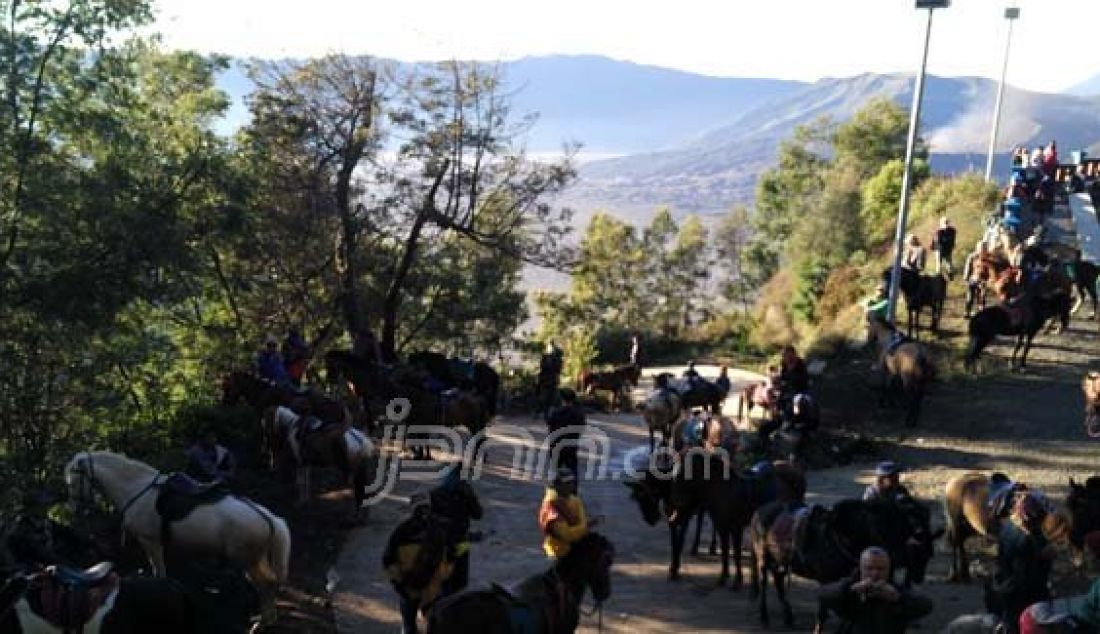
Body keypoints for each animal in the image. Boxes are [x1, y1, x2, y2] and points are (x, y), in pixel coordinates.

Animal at [62, 453, 290, 625]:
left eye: (74, 481)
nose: (73, 509)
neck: (136, 489)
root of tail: (269, 518)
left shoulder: (151, 542)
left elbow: (160, 572)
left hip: (247, 561)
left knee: (266, 585)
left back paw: (262, 622)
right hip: (258, 559)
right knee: (269, 584)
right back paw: (264, 619)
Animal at [752, 499, 941, 629]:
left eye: (903, 529)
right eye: (881, 527)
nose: (894, 557)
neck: (841, 536)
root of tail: (759, 511)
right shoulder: (826, 580)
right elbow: (823, 613)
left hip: (780, 560)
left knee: (778, 580)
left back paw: (788, 616)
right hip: (763, 557)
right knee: (763, 581)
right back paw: (764, 616)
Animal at [941, 471, 1069, 585]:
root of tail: (951, 482)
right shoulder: (1009, 543)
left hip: (969, 527)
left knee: (960, 545)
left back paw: (963, 574)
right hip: (956, 524)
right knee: (956, 546)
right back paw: (955, 575)